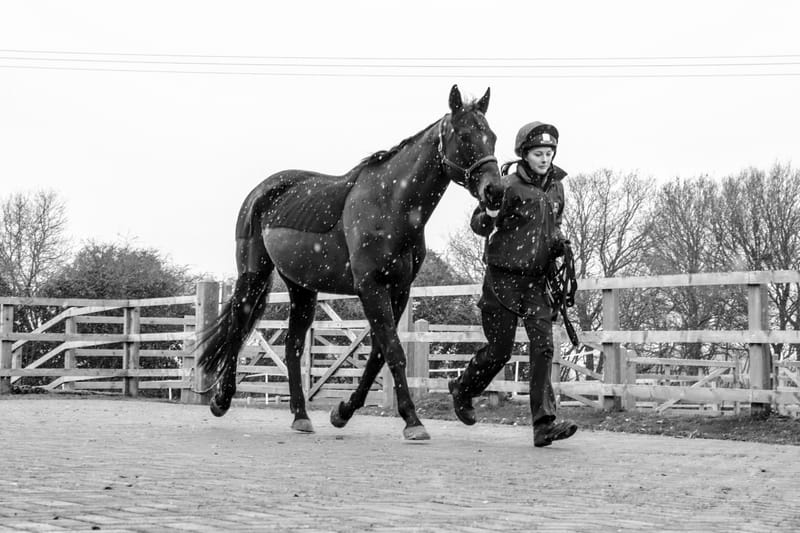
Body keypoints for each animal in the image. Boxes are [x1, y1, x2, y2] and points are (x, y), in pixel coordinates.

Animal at [197, 84, 503, 440]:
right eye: (465, 135)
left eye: (492, 137)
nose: (494, 190)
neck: (390, 203)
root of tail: (261, 192)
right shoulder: (371, 287)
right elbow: (393, 351)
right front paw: (413, 421)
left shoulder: (398, 290)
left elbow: (378, 355)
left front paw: (343, 412)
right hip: (253, 274)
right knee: (237, 326)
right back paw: (221, 400)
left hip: (302, 289)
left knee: (292, 346)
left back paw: (301, 415)